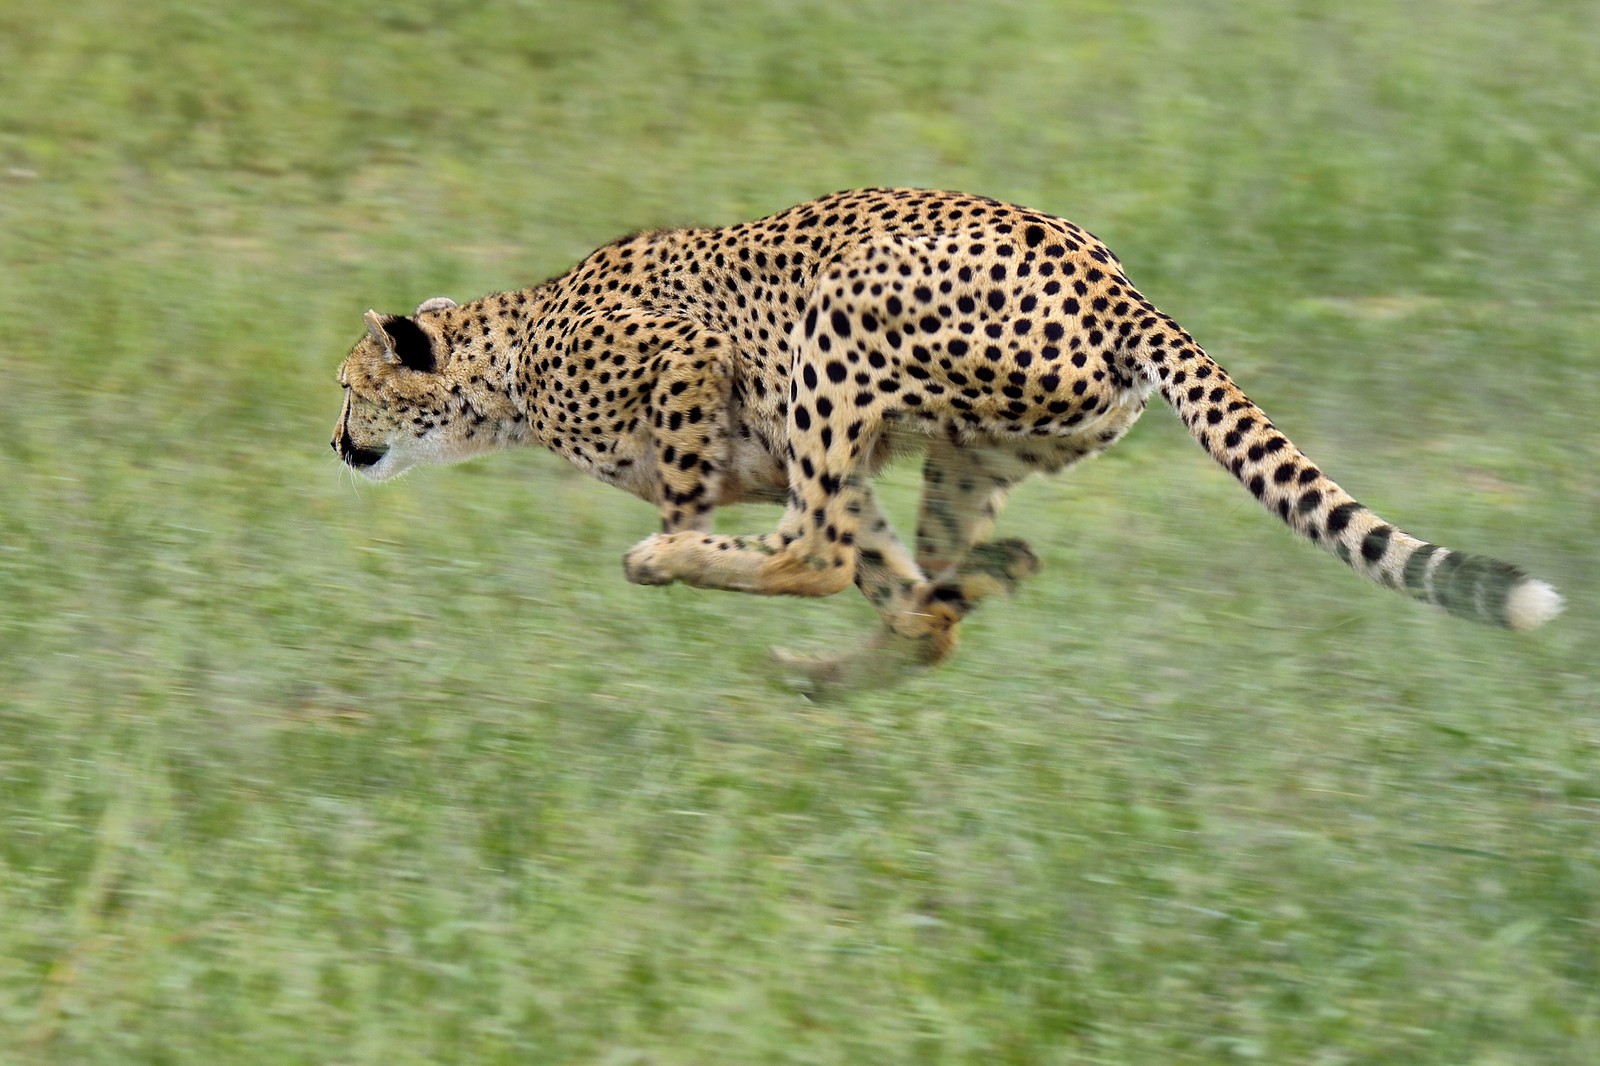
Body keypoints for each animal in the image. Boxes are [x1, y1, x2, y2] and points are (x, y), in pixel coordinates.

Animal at [332, 188, 1561, 684]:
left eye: (349, 387)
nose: (335, 446)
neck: (505, 363)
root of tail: (1120, 282)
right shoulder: (839, 466)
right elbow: (884, 572)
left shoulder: (695, 361)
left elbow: (731, 505)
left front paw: (679, 543)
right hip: (972, 445)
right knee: (914, 595)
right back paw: (891, 633)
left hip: (832, 329)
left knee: (817, 555)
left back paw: (696, 573)